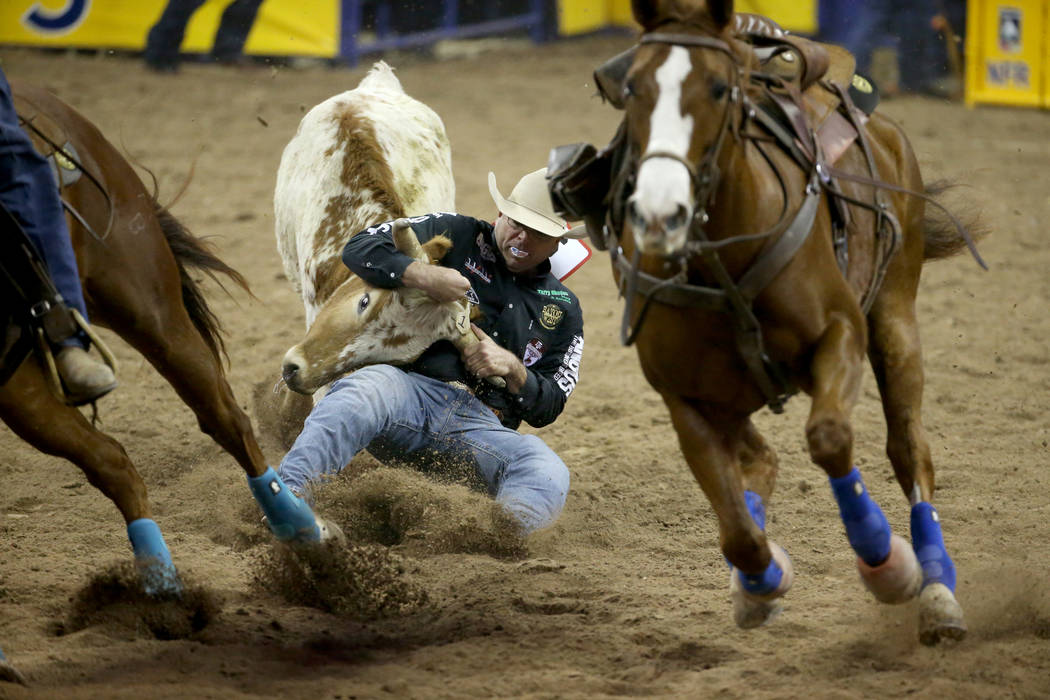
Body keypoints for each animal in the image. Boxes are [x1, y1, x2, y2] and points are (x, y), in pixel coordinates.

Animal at [1, 85, 331, 604]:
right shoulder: (14, 384)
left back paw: (298, 528)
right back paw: (159, 579)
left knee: (225, 419)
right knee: (112, 460)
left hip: (148, 306)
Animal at [588, 0, 978, 646]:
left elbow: (830, 438)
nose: (659, 215)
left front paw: (888, 567)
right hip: (735, 394)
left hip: (895, 316)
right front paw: (761, 583)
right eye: (633, 87)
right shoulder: (685, 400)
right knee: (760, 463)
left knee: (907, 448)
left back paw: (938, 594)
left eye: (720, 88)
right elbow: (739, 536)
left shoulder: (843, 333)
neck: (724, 259)